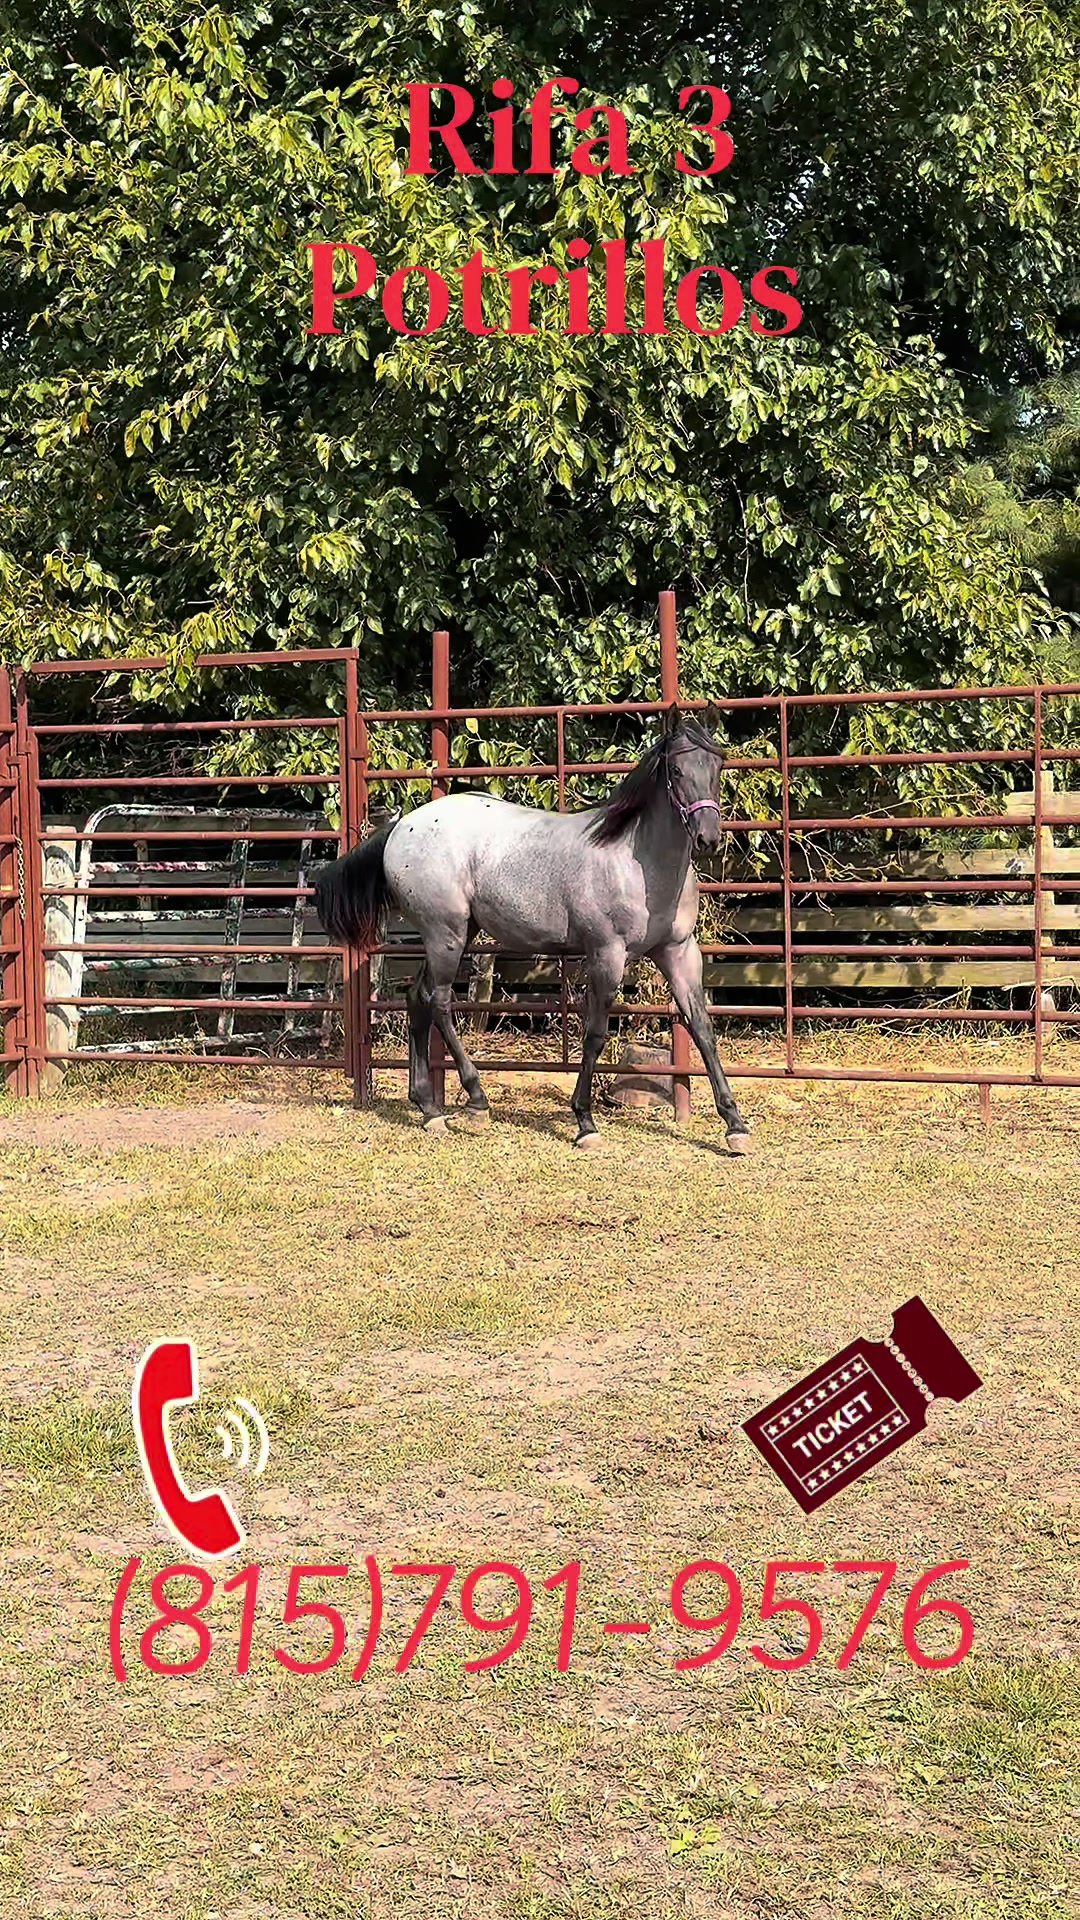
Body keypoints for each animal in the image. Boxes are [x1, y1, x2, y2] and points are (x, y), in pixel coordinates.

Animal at [314, 706, 751, 1152]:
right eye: (676, 770)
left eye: (717, 764)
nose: (708, 838)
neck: (634, 861)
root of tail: (402, 828)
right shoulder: (606, 954)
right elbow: (595, 1034)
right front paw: (585, 1122)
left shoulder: (678, 950)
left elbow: (703, 1029)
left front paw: (735, 1126)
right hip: (445, 934)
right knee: (439, 1002)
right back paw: (476, 1102)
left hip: (456, 934)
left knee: (417, 997)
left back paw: (430, 1109)